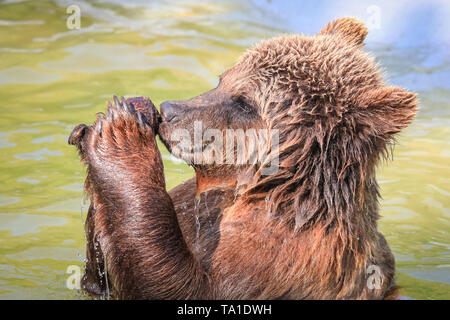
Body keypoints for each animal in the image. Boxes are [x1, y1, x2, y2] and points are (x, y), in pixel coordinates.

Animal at [68, 17, 416, 298]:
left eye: (245, 103)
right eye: (222, 79)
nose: (168, 111)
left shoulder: (278, 259)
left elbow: (181, 286)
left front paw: (120, 134)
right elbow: (101, 275)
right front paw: (126, 110)